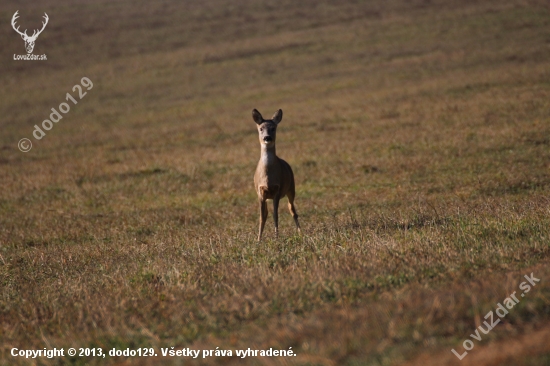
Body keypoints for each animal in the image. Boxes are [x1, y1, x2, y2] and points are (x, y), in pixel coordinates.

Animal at [254, 107, 302, 242]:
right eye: (261, 128)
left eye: (273, 128)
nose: (267, 137)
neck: (267, 177)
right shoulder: (260, 192)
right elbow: (262, 216)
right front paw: (258, 240)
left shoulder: (277, 190)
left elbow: (276, 215)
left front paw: (276, 238)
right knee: (267, 213)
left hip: (291, 189)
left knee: (292, 210)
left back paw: (301, 233)